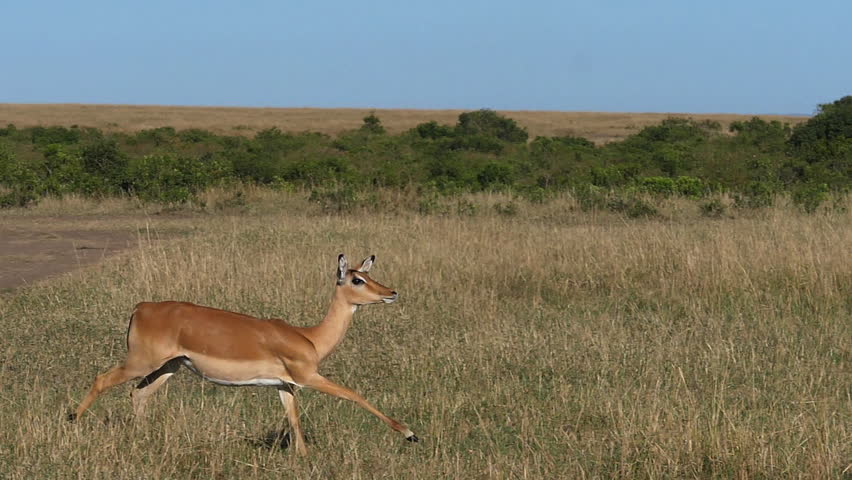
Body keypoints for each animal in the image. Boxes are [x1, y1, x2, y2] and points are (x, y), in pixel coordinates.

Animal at [69, 254, 418, 455]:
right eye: (357, 279)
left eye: (369, 275)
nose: (391, 292)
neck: (309, 337)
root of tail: (141, 308)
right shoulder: (308, 377)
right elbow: (355, 395)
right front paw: (409, 433)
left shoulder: (285, 385)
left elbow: (294, 419)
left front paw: (304, 458)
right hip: (141, 362)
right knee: (102, 379)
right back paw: (72, 422)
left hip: (170, 366)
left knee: (138, 394)